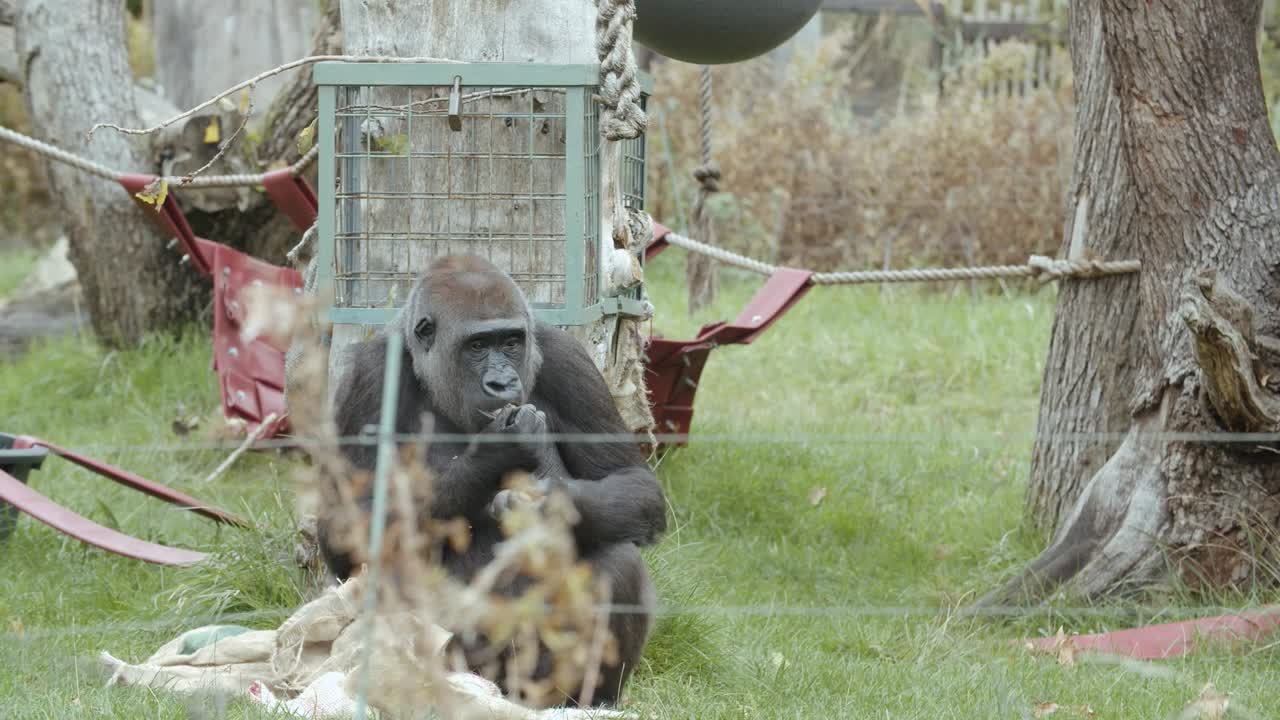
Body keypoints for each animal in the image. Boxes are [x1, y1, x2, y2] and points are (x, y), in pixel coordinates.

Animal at [319, 254, 667, 708]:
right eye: (478, 346)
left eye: (511, 342)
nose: (502, 383)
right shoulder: (369, 376)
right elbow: (345, 528)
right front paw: (492, 455)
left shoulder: (569, 360)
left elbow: (632, 480)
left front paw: (549, 507)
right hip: (468, 667)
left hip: (526, 681)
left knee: (616, 559)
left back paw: (590, 700)